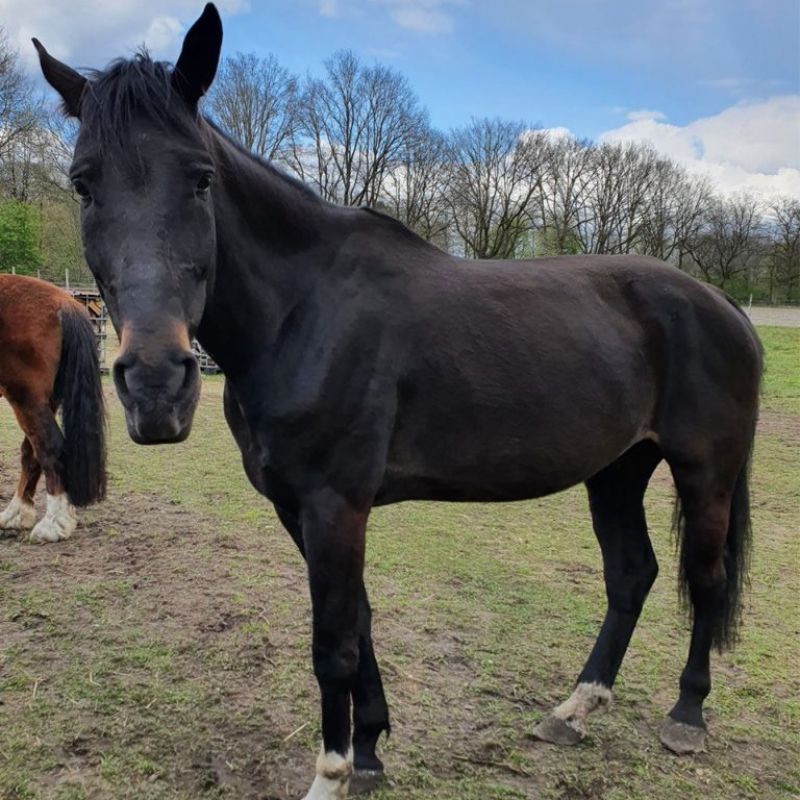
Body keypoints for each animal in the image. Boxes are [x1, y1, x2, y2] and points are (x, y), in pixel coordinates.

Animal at [0, 274, 107, 542]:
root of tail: (64, 302)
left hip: (27, 398)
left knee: (49, 447)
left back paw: (52, 524)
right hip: (44, 400)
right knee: (32, 452)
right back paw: (16, 514)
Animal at [34, 5, 762, 798]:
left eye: (200, 179)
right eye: (83, 185)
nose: (156, 384)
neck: (304, 310)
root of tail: (719, 300)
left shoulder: (334, 505)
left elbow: (333, 646)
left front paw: (332, 772)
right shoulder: (300, 508)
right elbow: (360, 623)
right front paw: (371, 749)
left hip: (704, 471)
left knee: (705, 577)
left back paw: (686, 716)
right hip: (618, 471)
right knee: (633, 575)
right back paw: (574, 709)